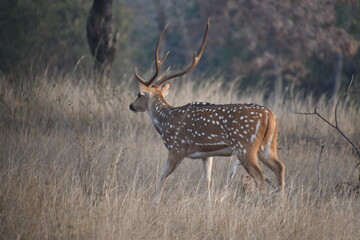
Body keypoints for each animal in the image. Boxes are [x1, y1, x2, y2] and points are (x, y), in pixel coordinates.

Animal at [129, 18, 284, 202]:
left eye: (139, 94)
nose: (132, 106)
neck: (165, 120)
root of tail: (270, 115)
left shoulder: (176, 148)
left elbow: (162, 176)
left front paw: (154, 202)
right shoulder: (206, 155)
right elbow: (207, 181)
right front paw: (209, 204)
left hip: (245, 147)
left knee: (260, 177)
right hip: (268, 146)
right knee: (280, 167)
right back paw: (282, 202)